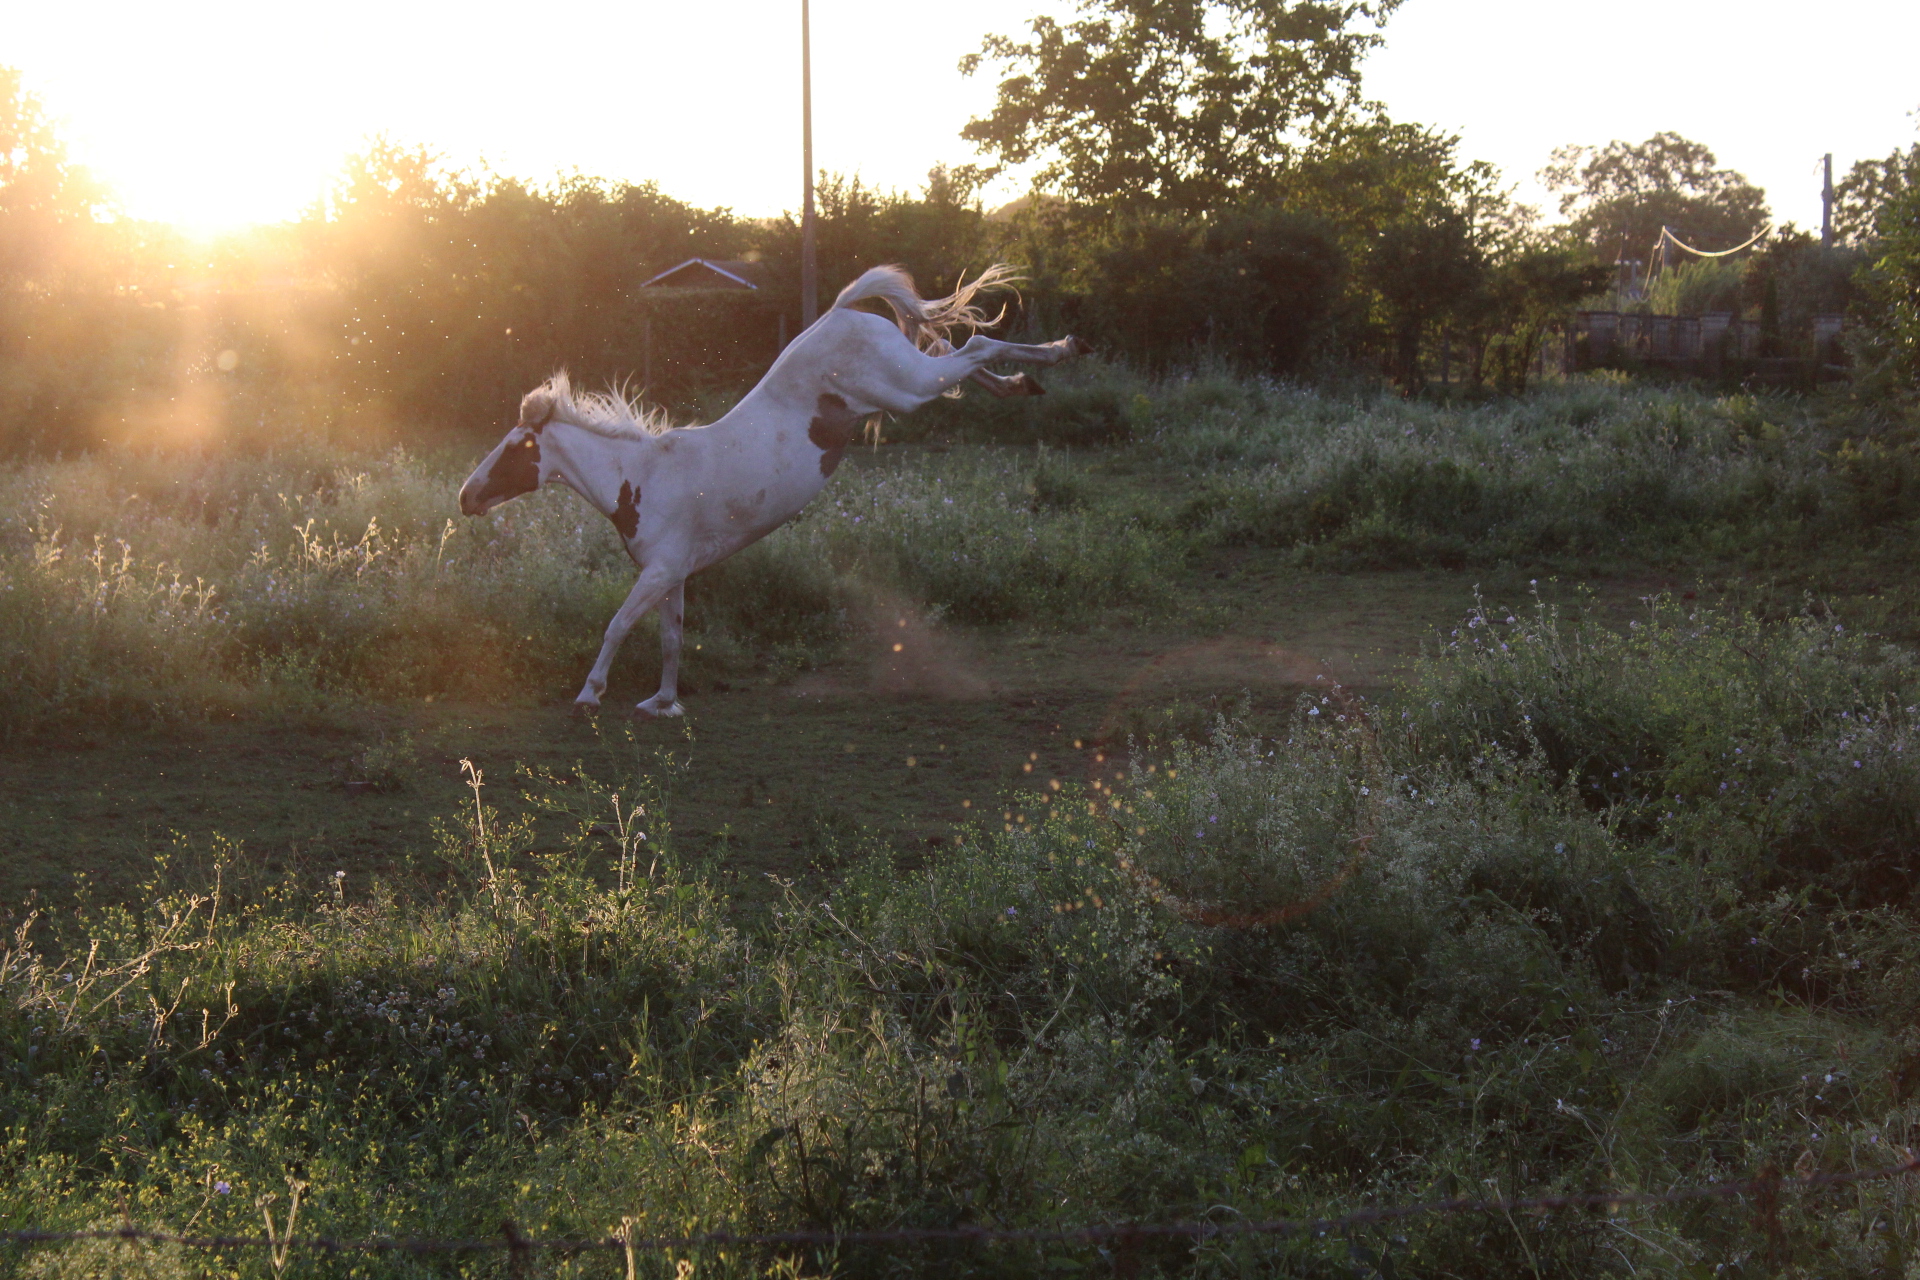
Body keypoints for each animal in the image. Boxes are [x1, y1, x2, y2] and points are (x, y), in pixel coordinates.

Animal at [457, 264, 1091, 717]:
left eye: (515, 447)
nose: (465, 497)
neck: (643, 477)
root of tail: (841, 312)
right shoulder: (675, 575)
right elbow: (671, 638)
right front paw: (663, 703)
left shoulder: (658, 572)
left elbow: (618, 625)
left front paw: (590, 694)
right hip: (910, 383)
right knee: (957, 353)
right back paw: (1030, 378)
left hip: (907, 389)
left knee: (974, 347)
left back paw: (1060, 351)